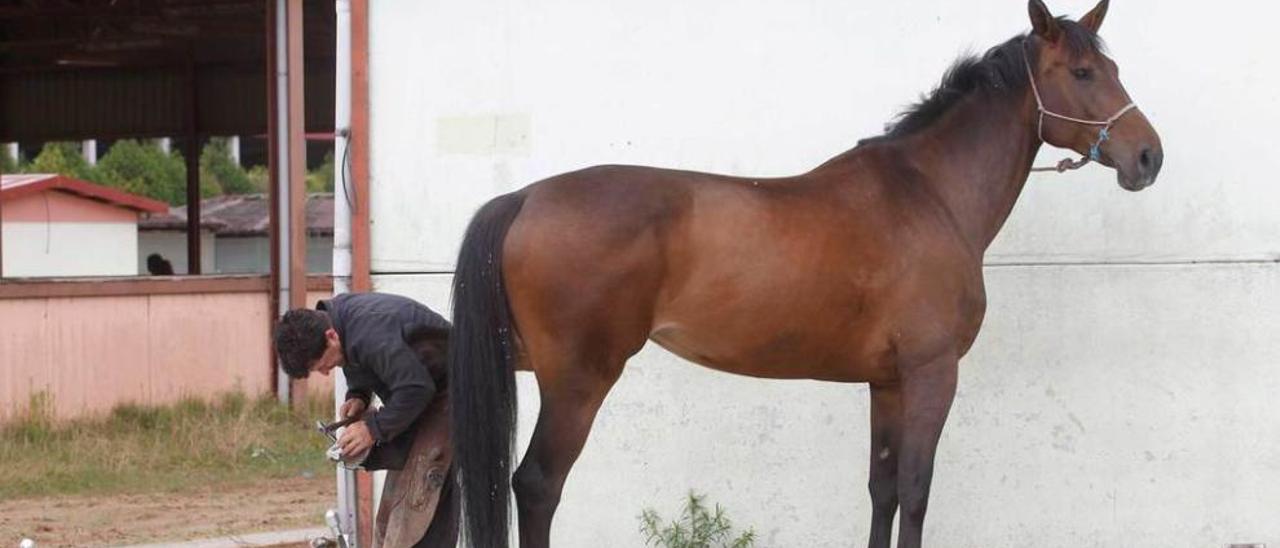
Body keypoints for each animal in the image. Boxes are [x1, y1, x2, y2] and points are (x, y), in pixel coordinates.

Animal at [448, 2, 1162, 545]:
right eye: (1083, 71)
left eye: (1114, 68)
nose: (1149, 157)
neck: (929, 193)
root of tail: (525, 197)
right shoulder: (932, 373)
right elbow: (917, 490)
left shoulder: (888, 382)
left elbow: (882, 489)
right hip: (577, 381)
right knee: (538, 485)